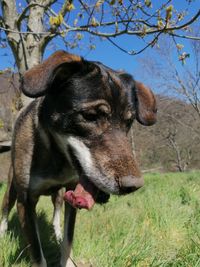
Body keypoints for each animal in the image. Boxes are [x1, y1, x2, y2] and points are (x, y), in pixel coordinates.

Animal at [0, 50, 156, 267]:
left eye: (129, 122)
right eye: (89, 116)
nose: (133, 186)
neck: (57, 157)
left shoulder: (71, 192)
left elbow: (68, 238)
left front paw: (66, 259)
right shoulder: (26, 202)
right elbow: (37, 253)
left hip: (58, 195)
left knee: (56, 213)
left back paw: (56, 232)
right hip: (12, 187)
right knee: (6, 207)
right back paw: (2, 233)